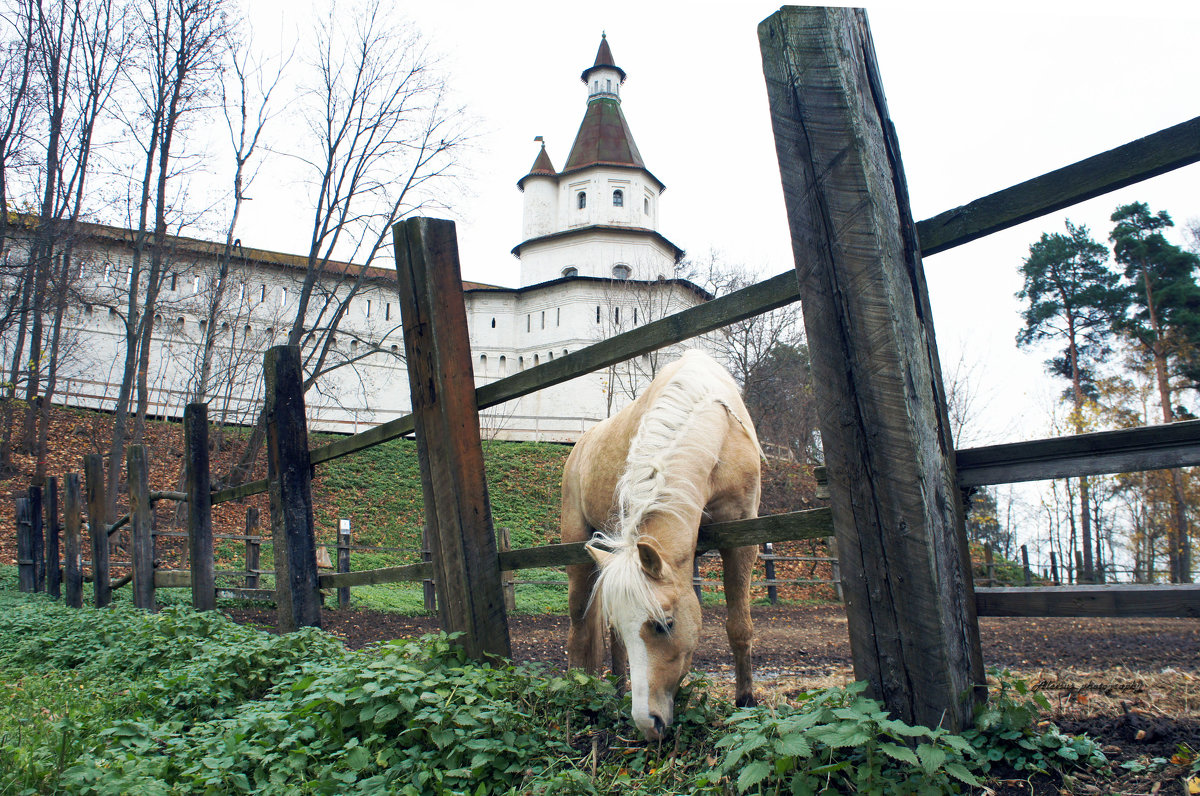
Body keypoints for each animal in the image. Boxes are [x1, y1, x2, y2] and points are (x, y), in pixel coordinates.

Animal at [561, 350, 758, 739]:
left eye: (664, 624)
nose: (647, 723)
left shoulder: (741, 539)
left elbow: (739, 626)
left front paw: (746, 702)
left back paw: (619, 689)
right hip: (578, 555)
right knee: (580, 629)